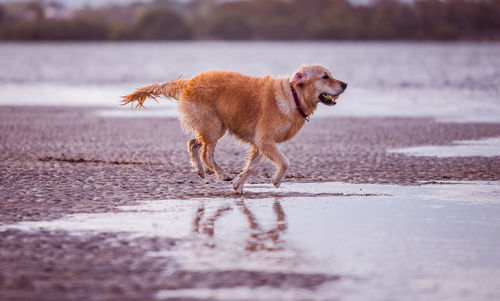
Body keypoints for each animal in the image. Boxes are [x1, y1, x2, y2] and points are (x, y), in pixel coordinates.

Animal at [122, 64, 348, 193]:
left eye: (330, 75)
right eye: (325, 77)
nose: (345, 84)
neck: (293, 96)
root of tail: (188, 83)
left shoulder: (260, 144)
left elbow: (251, 167)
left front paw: (239, 184)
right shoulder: (265, 140)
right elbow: (285, 162)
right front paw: (275, 180)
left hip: (213, 126)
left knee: (192, 143)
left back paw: (200, 170)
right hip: (213, 126)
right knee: (206, 153)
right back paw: (222, 174)